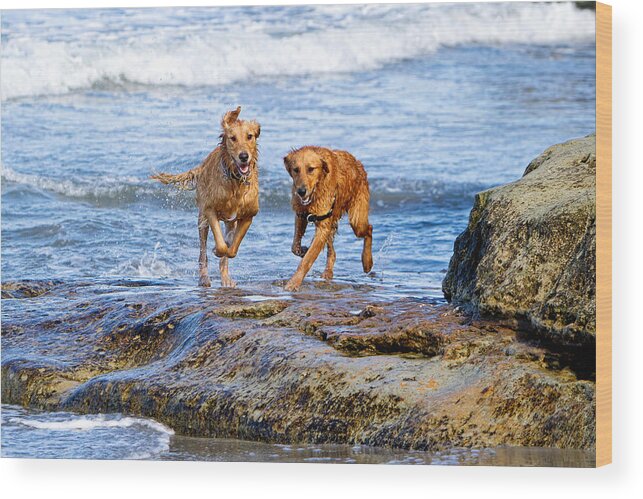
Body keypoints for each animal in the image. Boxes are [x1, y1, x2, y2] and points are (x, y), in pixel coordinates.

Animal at [152, 108, 260, 290]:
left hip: (229, 221)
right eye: (232, 138)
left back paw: (226, 278)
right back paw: (204, 278)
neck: (235, 181)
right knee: (202, 252)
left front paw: (227, 248)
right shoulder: (210, 210)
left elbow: (232, 249)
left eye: (250, 136)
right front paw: (217, 249)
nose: (244, 156)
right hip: (202, 218)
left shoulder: (248, 216)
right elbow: (221, 245)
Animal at [284, 146, 372, 292]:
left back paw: (367, 262)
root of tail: (358, 163)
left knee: (369, 229)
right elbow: (294, 246)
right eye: (296, 169)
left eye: (311, 169)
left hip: (357, 219)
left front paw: (293, 283)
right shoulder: (301, 214)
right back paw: (328, 272)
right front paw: (302, 250)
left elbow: (307, 260)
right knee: (332, 251)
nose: (301, 191)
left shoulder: (322, 223)